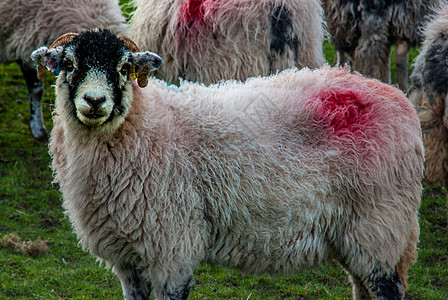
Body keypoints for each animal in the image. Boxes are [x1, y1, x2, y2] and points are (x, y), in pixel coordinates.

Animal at [31, 28, 424, 300]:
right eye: (69, 65)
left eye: (124, 67)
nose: (94, 101)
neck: (148, 125)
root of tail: (398, 100)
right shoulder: (128, 257)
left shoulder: (174, 245)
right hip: (355, 233)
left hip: (380, 225)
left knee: (386, 286)